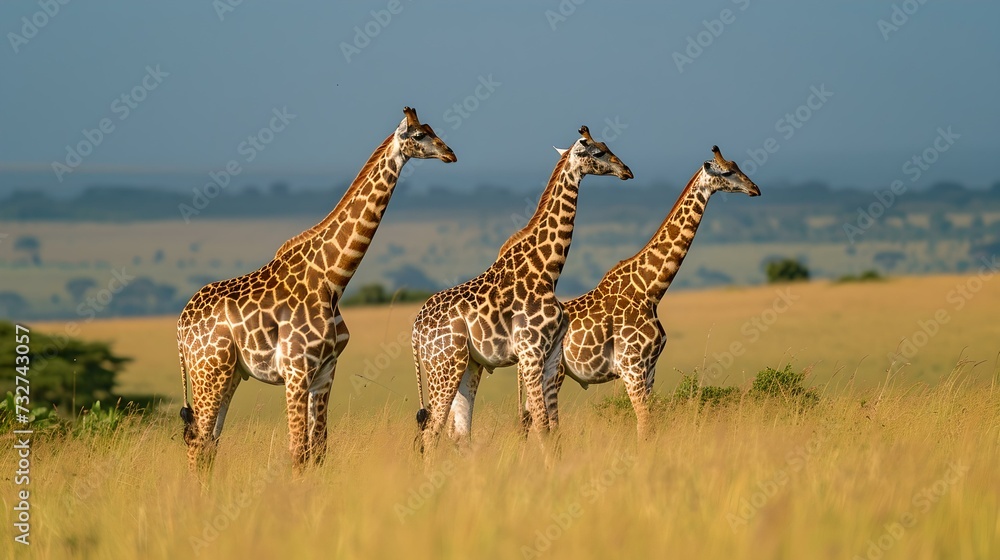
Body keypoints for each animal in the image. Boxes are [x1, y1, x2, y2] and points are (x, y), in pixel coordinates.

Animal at [177, 107, 456, 473]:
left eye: (433, 129)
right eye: (420, 135)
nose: (450, 153)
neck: (331, 280)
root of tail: (180, 325)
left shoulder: (325, 371)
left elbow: (318, 451)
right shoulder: (297, 371)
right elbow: (297, 450)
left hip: (230, 374)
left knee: (209, 443)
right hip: (209, 371)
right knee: (198, 442)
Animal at [411, 125, 633, 455]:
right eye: (598, 152)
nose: (627, 170)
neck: (547, 271)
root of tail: (415, 329)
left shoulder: (551, 356)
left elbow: (552, 426)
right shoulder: (530, 353)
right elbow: (540, 424)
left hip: (468, 365)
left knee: (460, 432)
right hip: (444, 365)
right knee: (431, 433)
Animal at [533, 146, 760, 439]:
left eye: (738, 166)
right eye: (728, 171)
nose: (755, 188)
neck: (650, 290)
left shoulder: (650, 369)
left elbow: (649, 425)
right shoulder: (632, 367)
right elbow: (645, 424)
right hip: (554, 372)